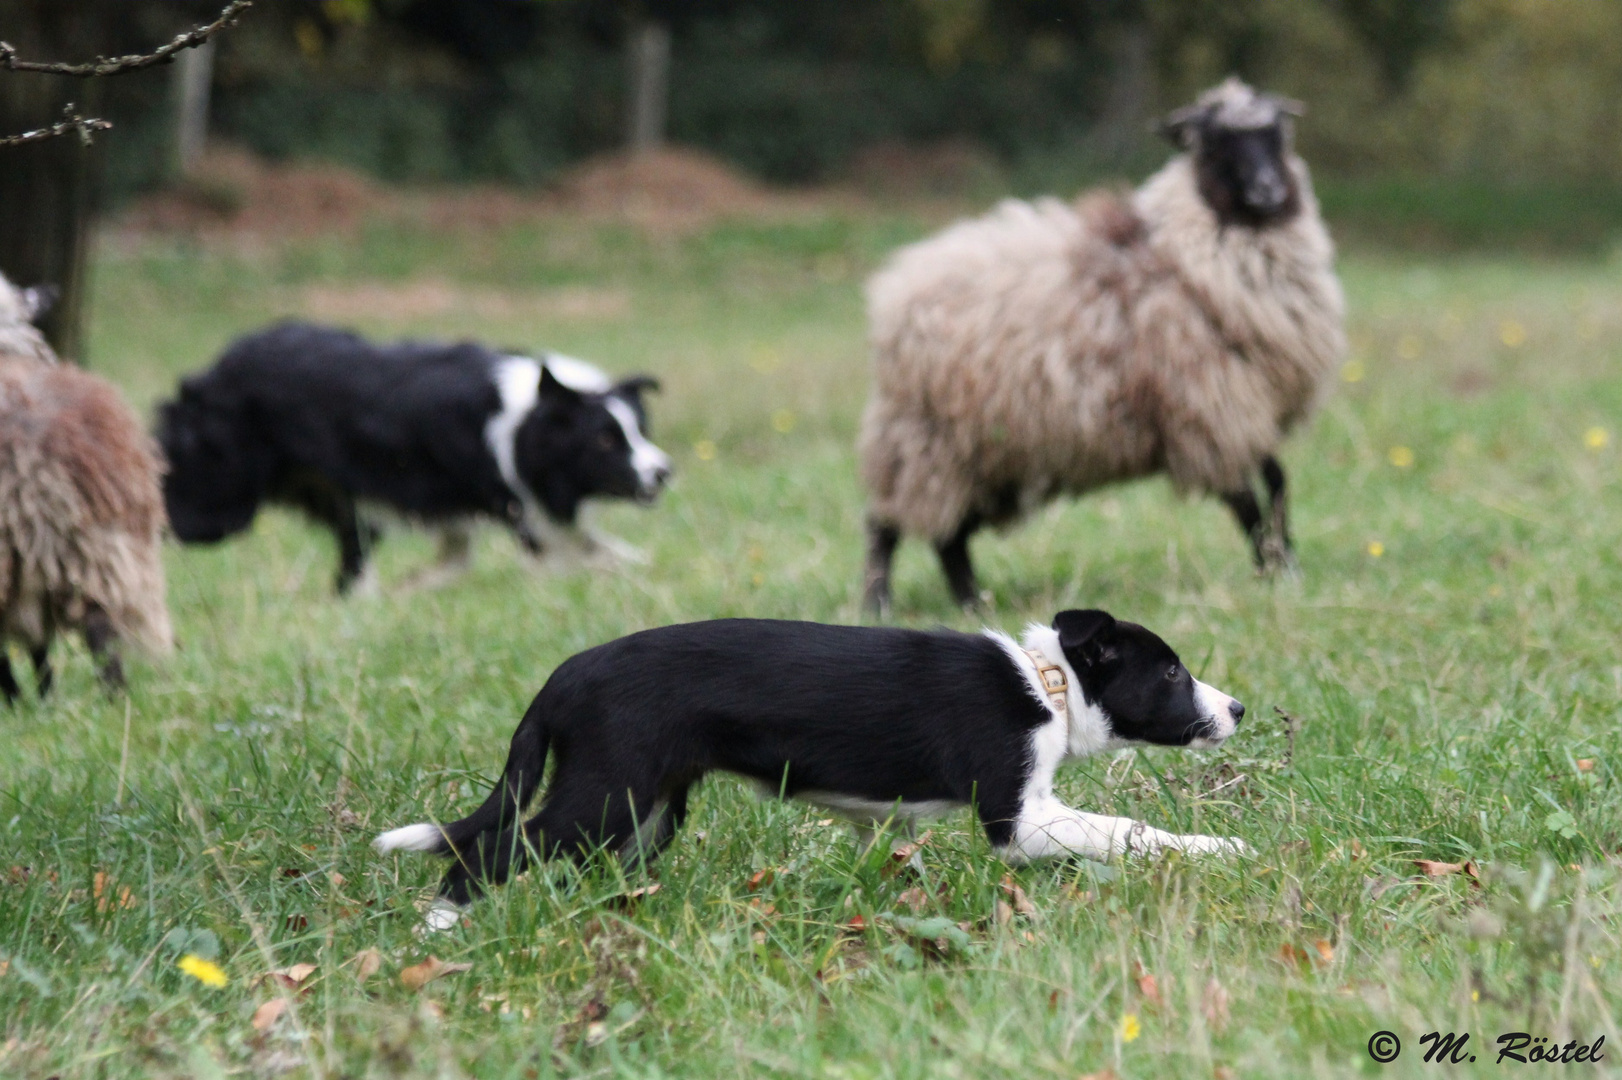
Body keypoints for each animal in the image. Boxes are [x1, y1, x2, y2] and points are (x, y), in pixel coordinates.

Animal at [156, 321, 671, 590]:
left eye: (642, 431)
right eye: (605, 440)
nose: (664, 471)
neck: (527, 419)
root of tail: (221, 363)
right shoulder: (524, 512)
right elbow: (594, 556)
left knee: (352, 569)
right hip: (217, 502)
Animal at [373, 606, 1245, 927]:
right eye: (1172, 673)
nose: (1238, 708)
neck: (1049, 682)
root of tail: (561, 677)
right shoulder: (1016, 817)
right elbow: (1126, 827)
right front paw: (1220, 851)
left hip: (649, 808)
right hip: (602, 792)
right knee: (490, 850)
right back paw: (441, 929)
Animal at [862, 76, 1343, 609]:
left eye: (1277, 135)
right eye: (1215, 144)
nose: (1268, 191)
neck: (1185, 253)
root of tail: (897, 288)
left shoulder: (1244, 410)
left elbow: (1277, 481)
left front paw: (1287, 568)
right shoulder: (1206, 415)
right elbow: (1246, 504)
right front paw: (1270, 569)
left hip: (984, 456)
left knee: (948, 534)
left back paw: (971, 602)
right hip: (922, 439)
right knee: (886, 521)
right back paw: (879, 601)